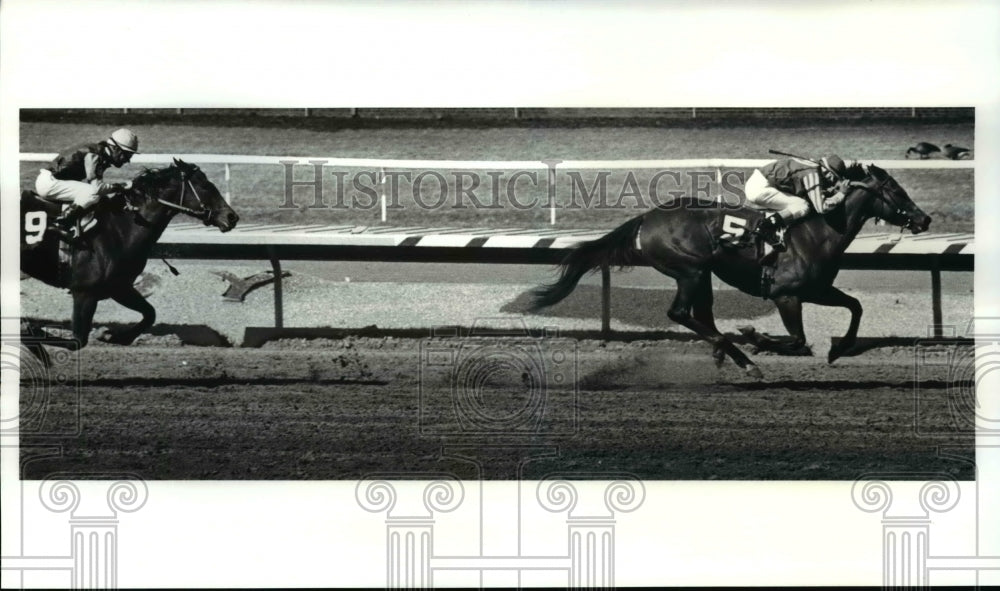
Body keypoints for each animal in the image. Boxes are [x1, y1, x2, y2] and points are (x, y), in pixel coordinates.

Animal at [21, 158, 240, 352]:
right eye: (205, 186)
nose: (232, 217)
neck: (121, 229)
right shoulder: (84, 292)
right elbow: (78, 340)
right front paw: (31, 329)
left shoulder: (119, 287)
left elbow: (150, 314)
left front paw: (113, 336)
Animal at [532, 163, 928, 380]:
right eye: (896, 190)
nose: (924, 219)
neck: (820, 230)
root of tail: (647, 217)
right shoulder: (786, 295)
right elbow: (797, 340)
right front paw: (757, 336)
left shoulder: (817, 290)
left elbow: (856, 307)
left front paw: (839, 350)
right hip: (689, 270)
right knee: (680, 313)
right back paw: (740, 356)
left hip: (703, 273)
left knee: (702, 314)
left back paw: (727, 355)